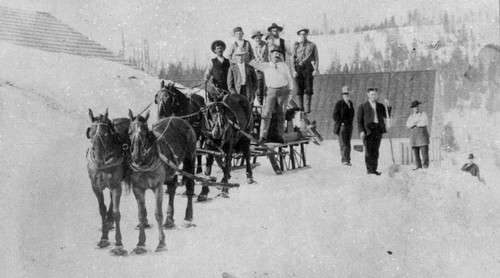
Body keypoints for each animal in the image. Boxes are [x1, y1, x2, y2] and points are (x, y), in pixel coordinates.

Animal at [86, 108, 130, 256]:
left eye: (105, 134)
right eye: (90, 134)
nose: (99, 161)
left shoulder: (116, 186)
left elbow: (117, 213)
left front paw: (119, 244)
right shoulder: (96, 186)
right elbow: (102, 209)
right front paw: (104, 238)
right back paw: (108, 221)